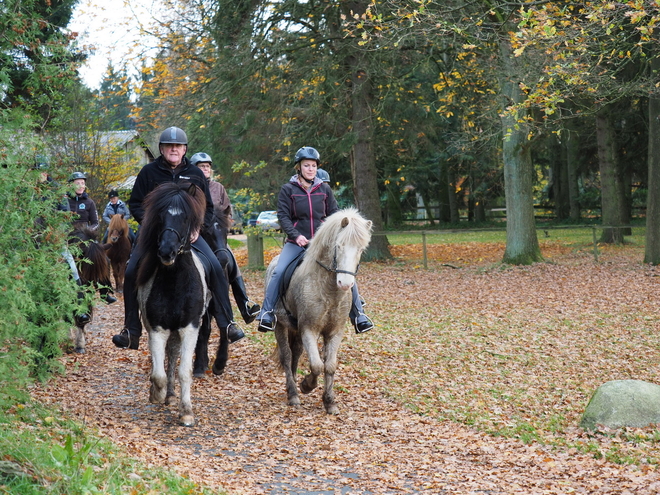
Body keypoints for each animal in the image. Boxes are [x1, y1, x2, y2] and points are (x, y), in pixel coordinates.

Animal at [137, 182, 211, 426]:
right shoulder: (157, 329)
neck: (175, 282)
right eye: (160, 216)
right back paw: (165, 395)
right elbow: (158, 374)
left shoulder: (189, 328)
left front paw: (186, 411)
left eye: (186, 218)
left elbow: (184, 371)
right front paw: (156, 394)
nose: (166, 252)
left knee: (173, 357)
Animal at [266, 207, 372, 416]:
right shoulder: (309, 329)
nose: (345, 283)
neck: (328, 290)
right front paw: (306, 385)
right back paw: (293, 394)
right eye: (339, 246)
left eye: (361, 250)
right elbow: (316, 365)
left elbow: (329, 366)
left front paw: (329, 402)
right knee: (287, 356)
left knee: (296, 353)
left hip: (296, 329)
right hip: (280, 325)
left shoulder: (335, 332)